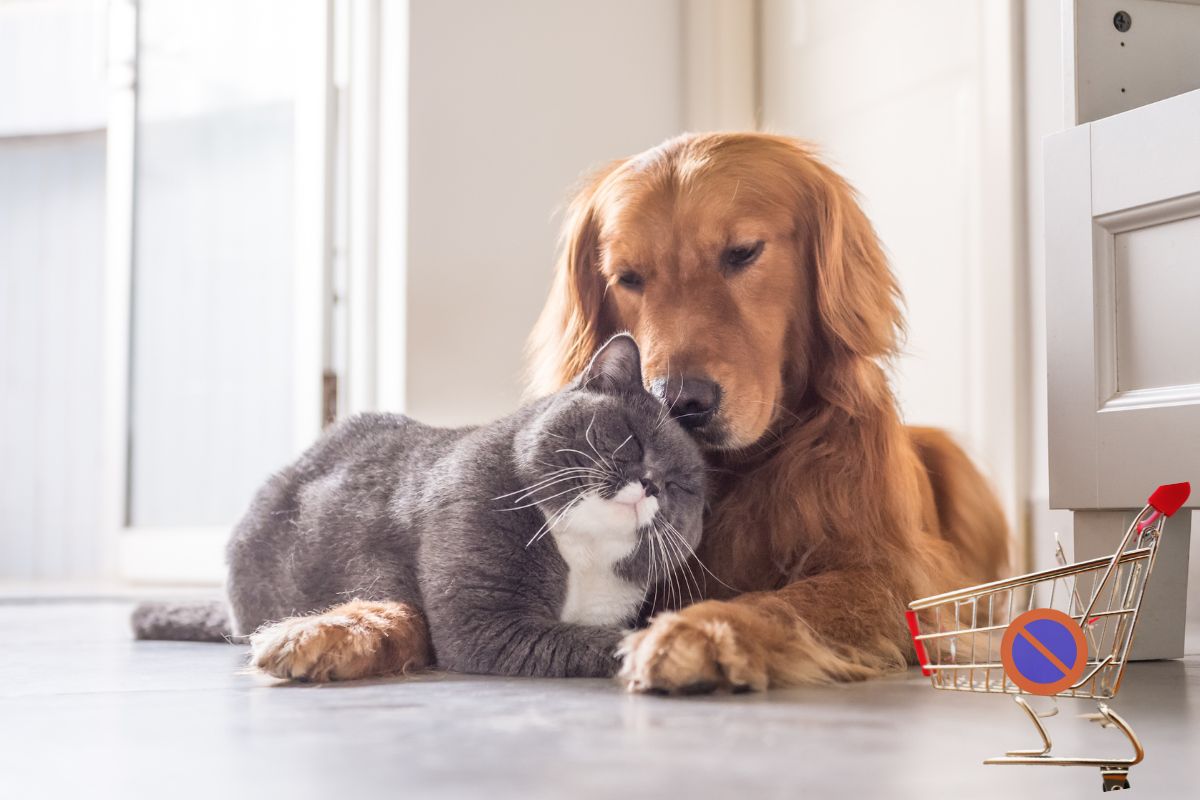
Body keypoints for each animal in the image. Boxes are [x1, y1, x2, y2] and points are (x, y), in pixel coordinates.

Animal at [132, 335, 705, 681]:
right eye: (630, 439)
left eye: (682, 486)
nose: (650, 484)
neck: (581, 555)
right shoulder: (484, 623)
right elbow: (597, 640)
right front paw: (659, 647)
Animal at [530, 133, 1008, 695]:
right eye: (627, 278)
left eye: (742, 253)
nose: (679, 402)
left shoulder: (887, 574)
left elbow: (789, 602)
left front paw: (703, 631)